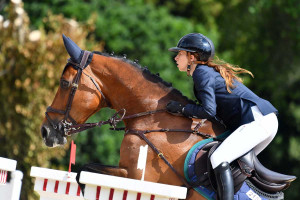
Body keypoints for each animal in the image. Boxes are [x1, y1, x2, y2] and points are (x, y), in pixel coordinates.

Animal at [41, 35, 296, 199]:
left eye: (64, 84)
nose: (45, 131)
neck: (153, 119)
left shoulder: (139, 177)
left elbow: (85, 171)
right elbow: (86, 170)